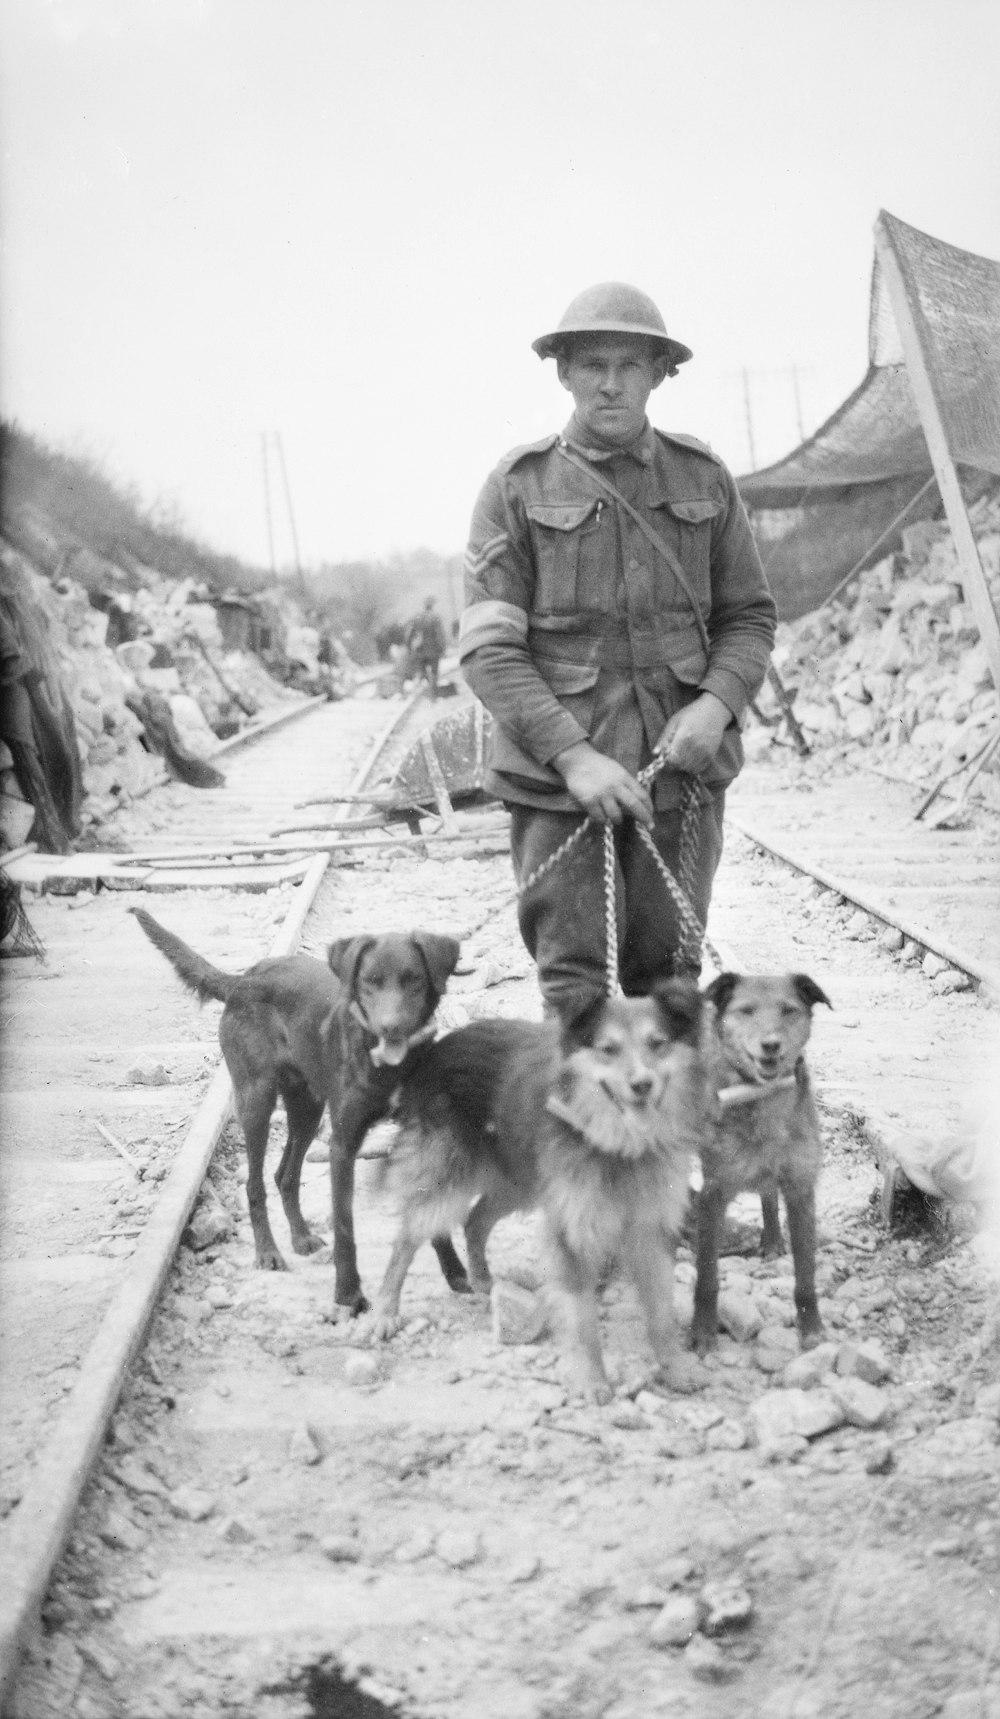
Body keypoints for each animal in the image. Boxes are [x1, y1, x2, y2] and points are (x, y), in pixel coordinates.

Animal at [128, 907, 467, 1306]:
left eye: (413, 979)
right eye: (370, 981)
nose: (391, 1027)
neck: (391, 1067)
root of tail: (242, 981)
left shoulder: (419, 1135)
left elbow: (427, 1211)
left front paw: (456, 1271)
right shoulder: (343, 1144)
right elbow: (344, 1226)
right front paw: (348, 1294)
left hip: (307, 1108)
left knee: (285, 1176)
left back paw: (301, 1237)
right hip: (256, 1100)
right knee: (255, 1185)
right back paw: (268, 1252)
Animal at [376, 990, 714, 1402]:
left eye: (658, 1044)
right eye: (608, 1049)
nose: (642, 1085)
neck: (618, 1146)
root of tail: (434, 1051)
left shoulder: (651, 1229)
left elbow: (662, 1316)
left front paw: (676, 1371)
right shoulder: (571, 1231)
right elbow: (583, 1320)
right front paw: (591, 1381)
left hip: (521, 1180)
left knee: (475, 1221)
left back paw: (484, 1281)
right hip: (448, 1179)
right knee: (406, 1241)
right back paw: (384, 1313)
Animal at [694, 969, 835, 1354]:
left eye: (788, 1010)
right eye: (746, 1011)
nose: (771, 1045)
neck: (762, 1095)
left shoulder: (801, 1189)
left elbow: (806, 1275)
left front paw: (811, 1328)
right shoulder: (712, 1195)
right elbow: (707, 1276)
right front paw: (702, 1331)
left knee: (768, 1193)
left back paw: (771, 1239)